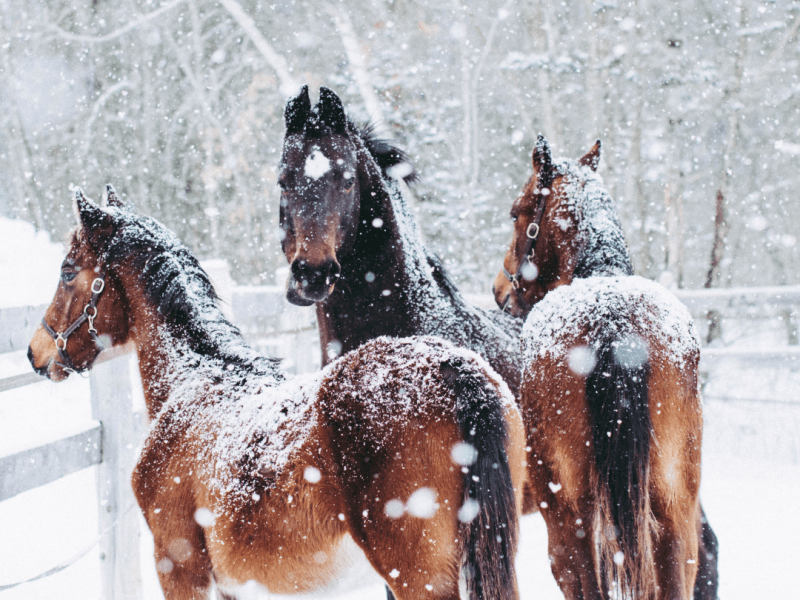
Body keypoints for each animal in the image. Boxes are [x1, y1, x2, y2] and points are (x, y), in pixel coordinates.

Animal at [28, 187, 528, 600]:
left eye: (68, 271)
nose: (36, 351)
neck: (194, 380)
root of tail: (455, 370)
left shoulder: (179, 569)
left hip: (418, 577)